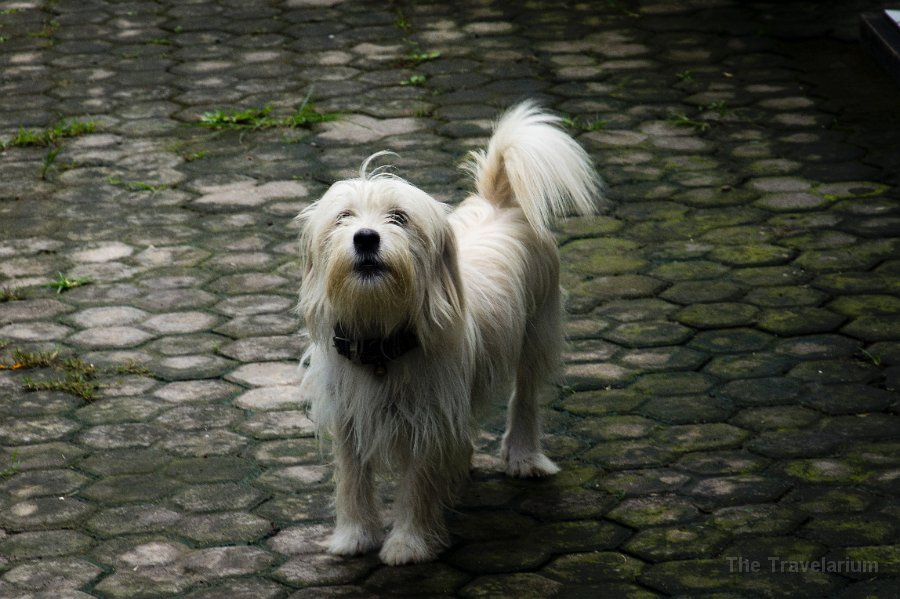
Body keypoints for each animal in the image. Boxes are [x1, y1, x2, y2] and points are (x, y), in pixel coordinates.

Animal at [298, 99, 604, 568]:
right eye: (343, 217)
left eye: (399, 218)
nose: (366, 238)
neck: (383, 337)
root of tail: (501, 199)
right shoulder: (348, 415)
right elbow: (352, 479)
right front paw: (354, 536)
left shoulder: (429, 419)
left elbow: (417, 483)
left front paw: (408, 544)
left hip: (535, 335)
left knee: (525, 398)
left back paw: (524, 457)